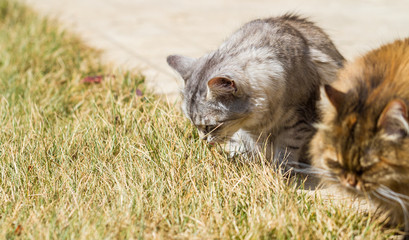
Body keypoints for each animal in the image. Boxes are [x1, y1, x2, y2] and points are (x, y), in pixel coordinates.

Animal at [167, 13, 342, 167]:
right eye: (195, 125)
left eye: (210, 127)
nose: (203, 140)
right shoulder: (250, 132)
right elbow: (253, 148)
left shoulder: (298, 120)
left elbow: (286, 151)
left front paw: (282, 172)